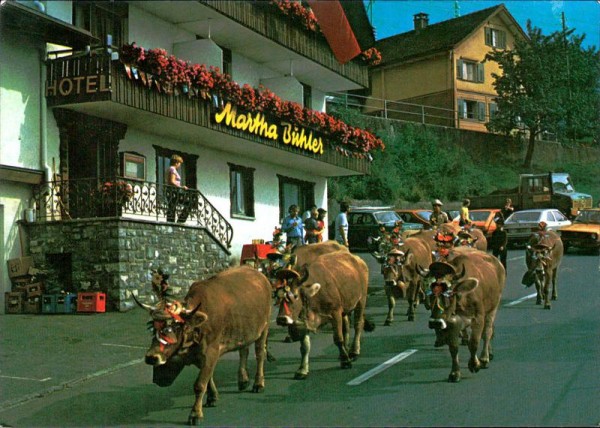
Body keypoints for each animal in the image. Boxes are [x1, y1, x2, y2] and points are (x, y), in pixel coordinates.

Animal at [134, 268, 272, 424]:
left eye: (173, 328)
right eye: (154, 329)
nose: (151, 357)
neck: (196, 329)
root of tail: (259, 274)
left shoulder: (211, 352)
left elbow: (199, 385)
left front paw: (195, 414)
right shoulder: (202, 356)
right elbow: (208, 377)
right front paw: (212, 397)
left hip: (264, 327)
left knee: (260, 354)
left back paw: (258, 384)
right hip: (244, 331)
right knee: (244, 350)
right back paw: (243, 380)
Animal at [418, 249, 506, 382]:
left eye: (449, 293)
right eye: (430, 292)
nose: (435, 322)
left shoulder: (478, 318)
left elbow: (474, 342)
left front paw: (474, 365)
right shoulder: (451, 322)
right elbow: (454, 348)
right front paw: (455, 373)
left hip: (493, 307)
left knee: (487, 332)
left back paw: (484, 358)